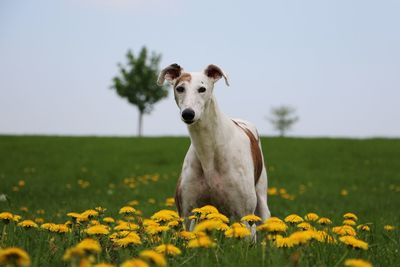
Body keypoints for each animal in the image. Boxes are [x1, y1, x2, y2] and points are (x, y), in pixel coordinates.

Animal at [158, 63, 270, 230]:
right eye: (180, 88)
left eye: (202, 89)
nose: (188, 114)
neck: (209, 150)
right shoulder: (187, 212)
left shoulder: (243, 214)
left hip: (260, 202)